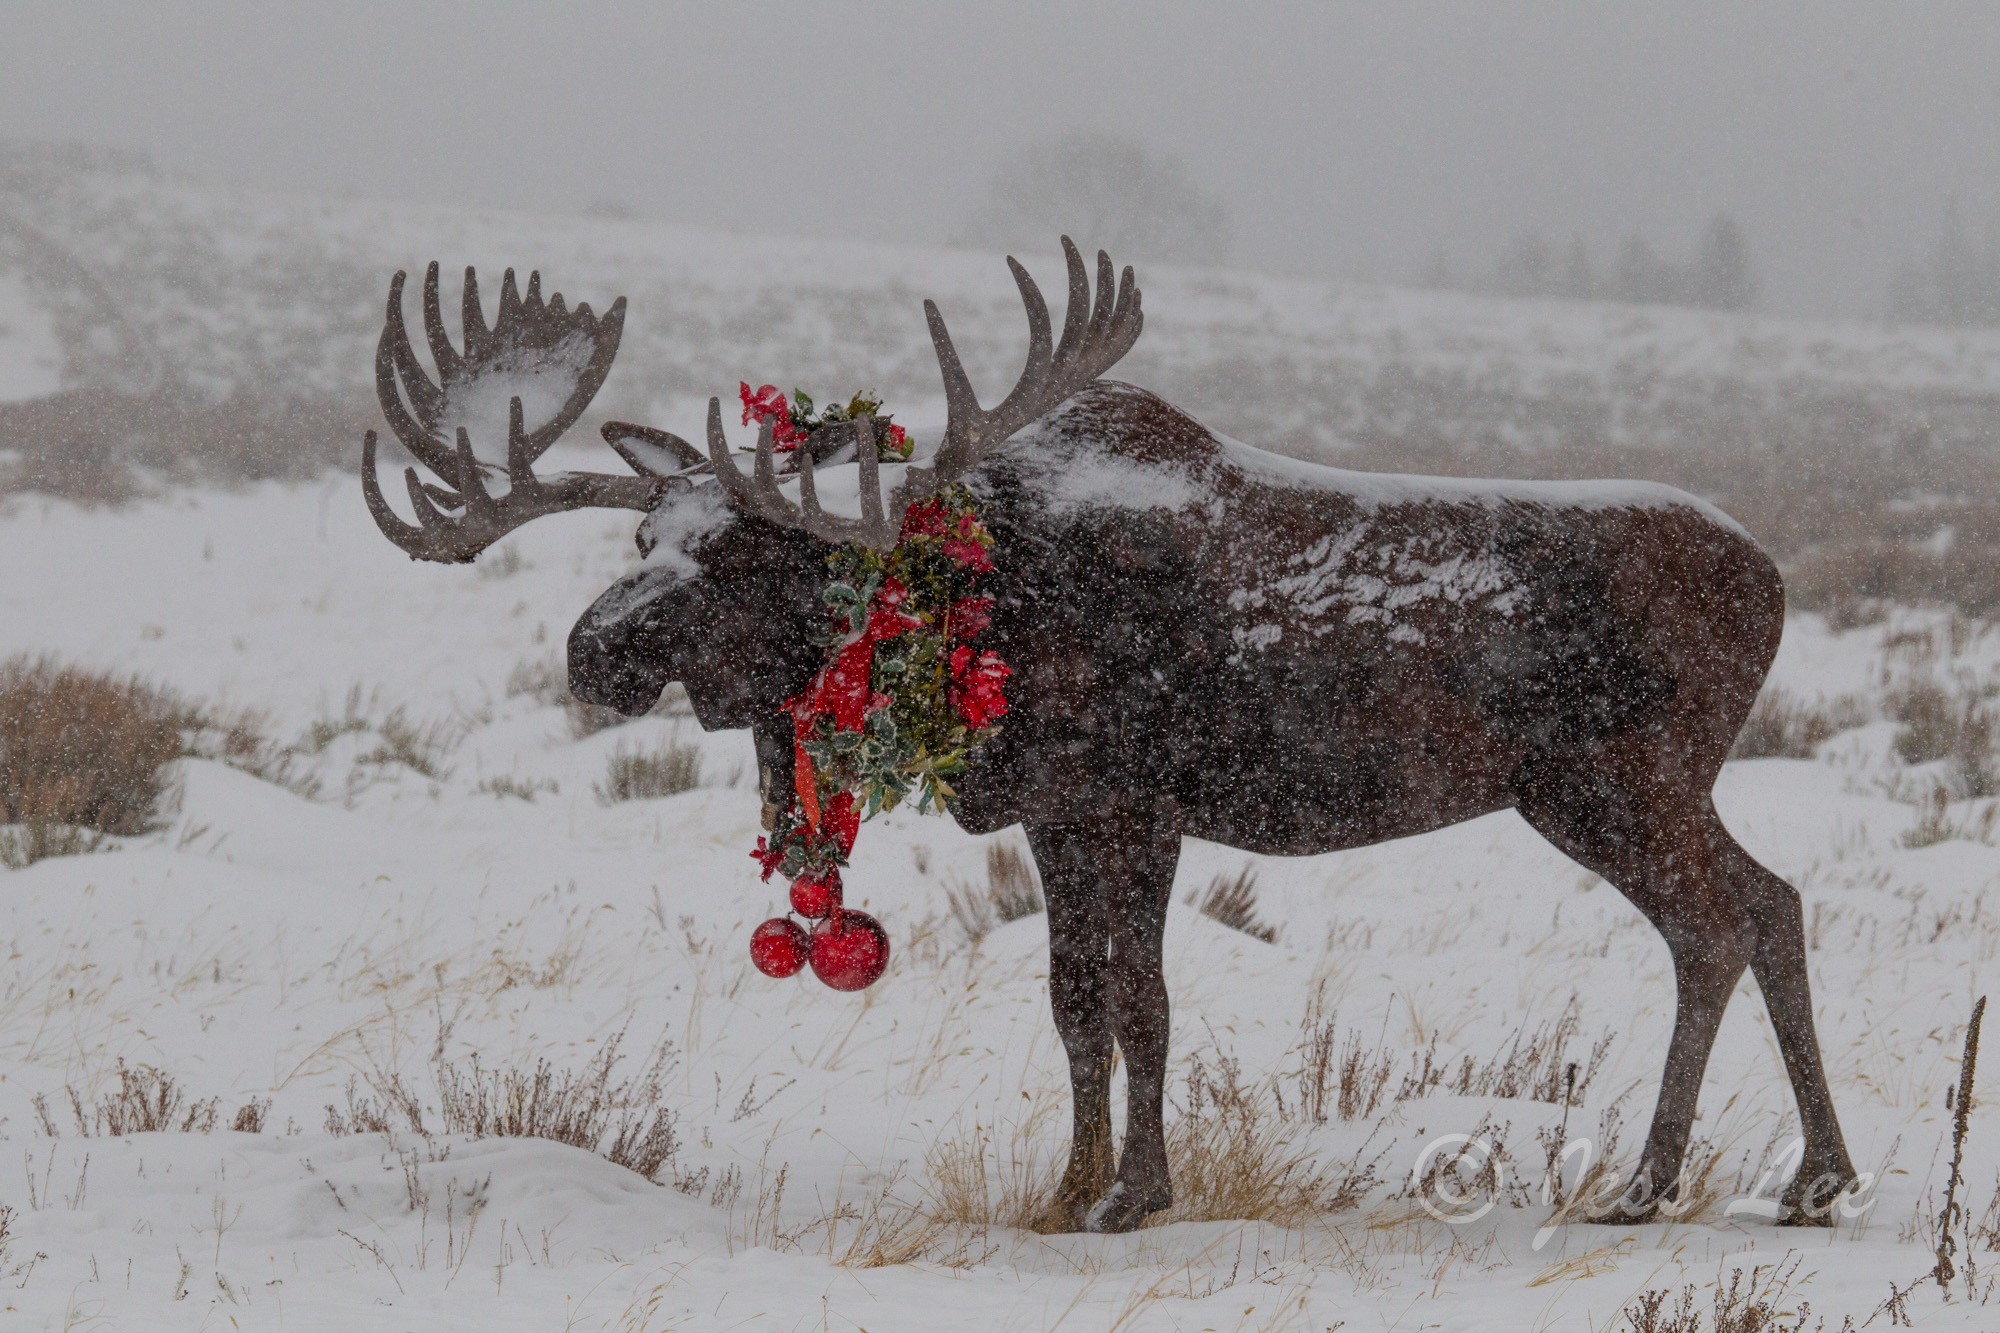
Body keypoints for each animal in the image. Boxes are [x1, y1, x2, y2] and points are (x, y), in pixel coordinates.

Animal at [360, 239, 1856, 1224]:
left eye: (740, 548)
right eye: (641, 537)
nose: (593, 647)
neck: (970, 595)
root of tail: (1774, 581)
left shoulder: (1131, 799)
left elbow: (1143, 998)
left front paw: (1136, 1192)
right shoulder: (1056, 809)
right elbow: (1073, 1002)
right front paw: (1066, 1185)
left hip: (1611, 777)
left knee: (1722, 920)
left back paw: (1657, 1181)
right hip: (1630, 785)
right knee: (1770, 901)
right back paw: (1808, 1173)